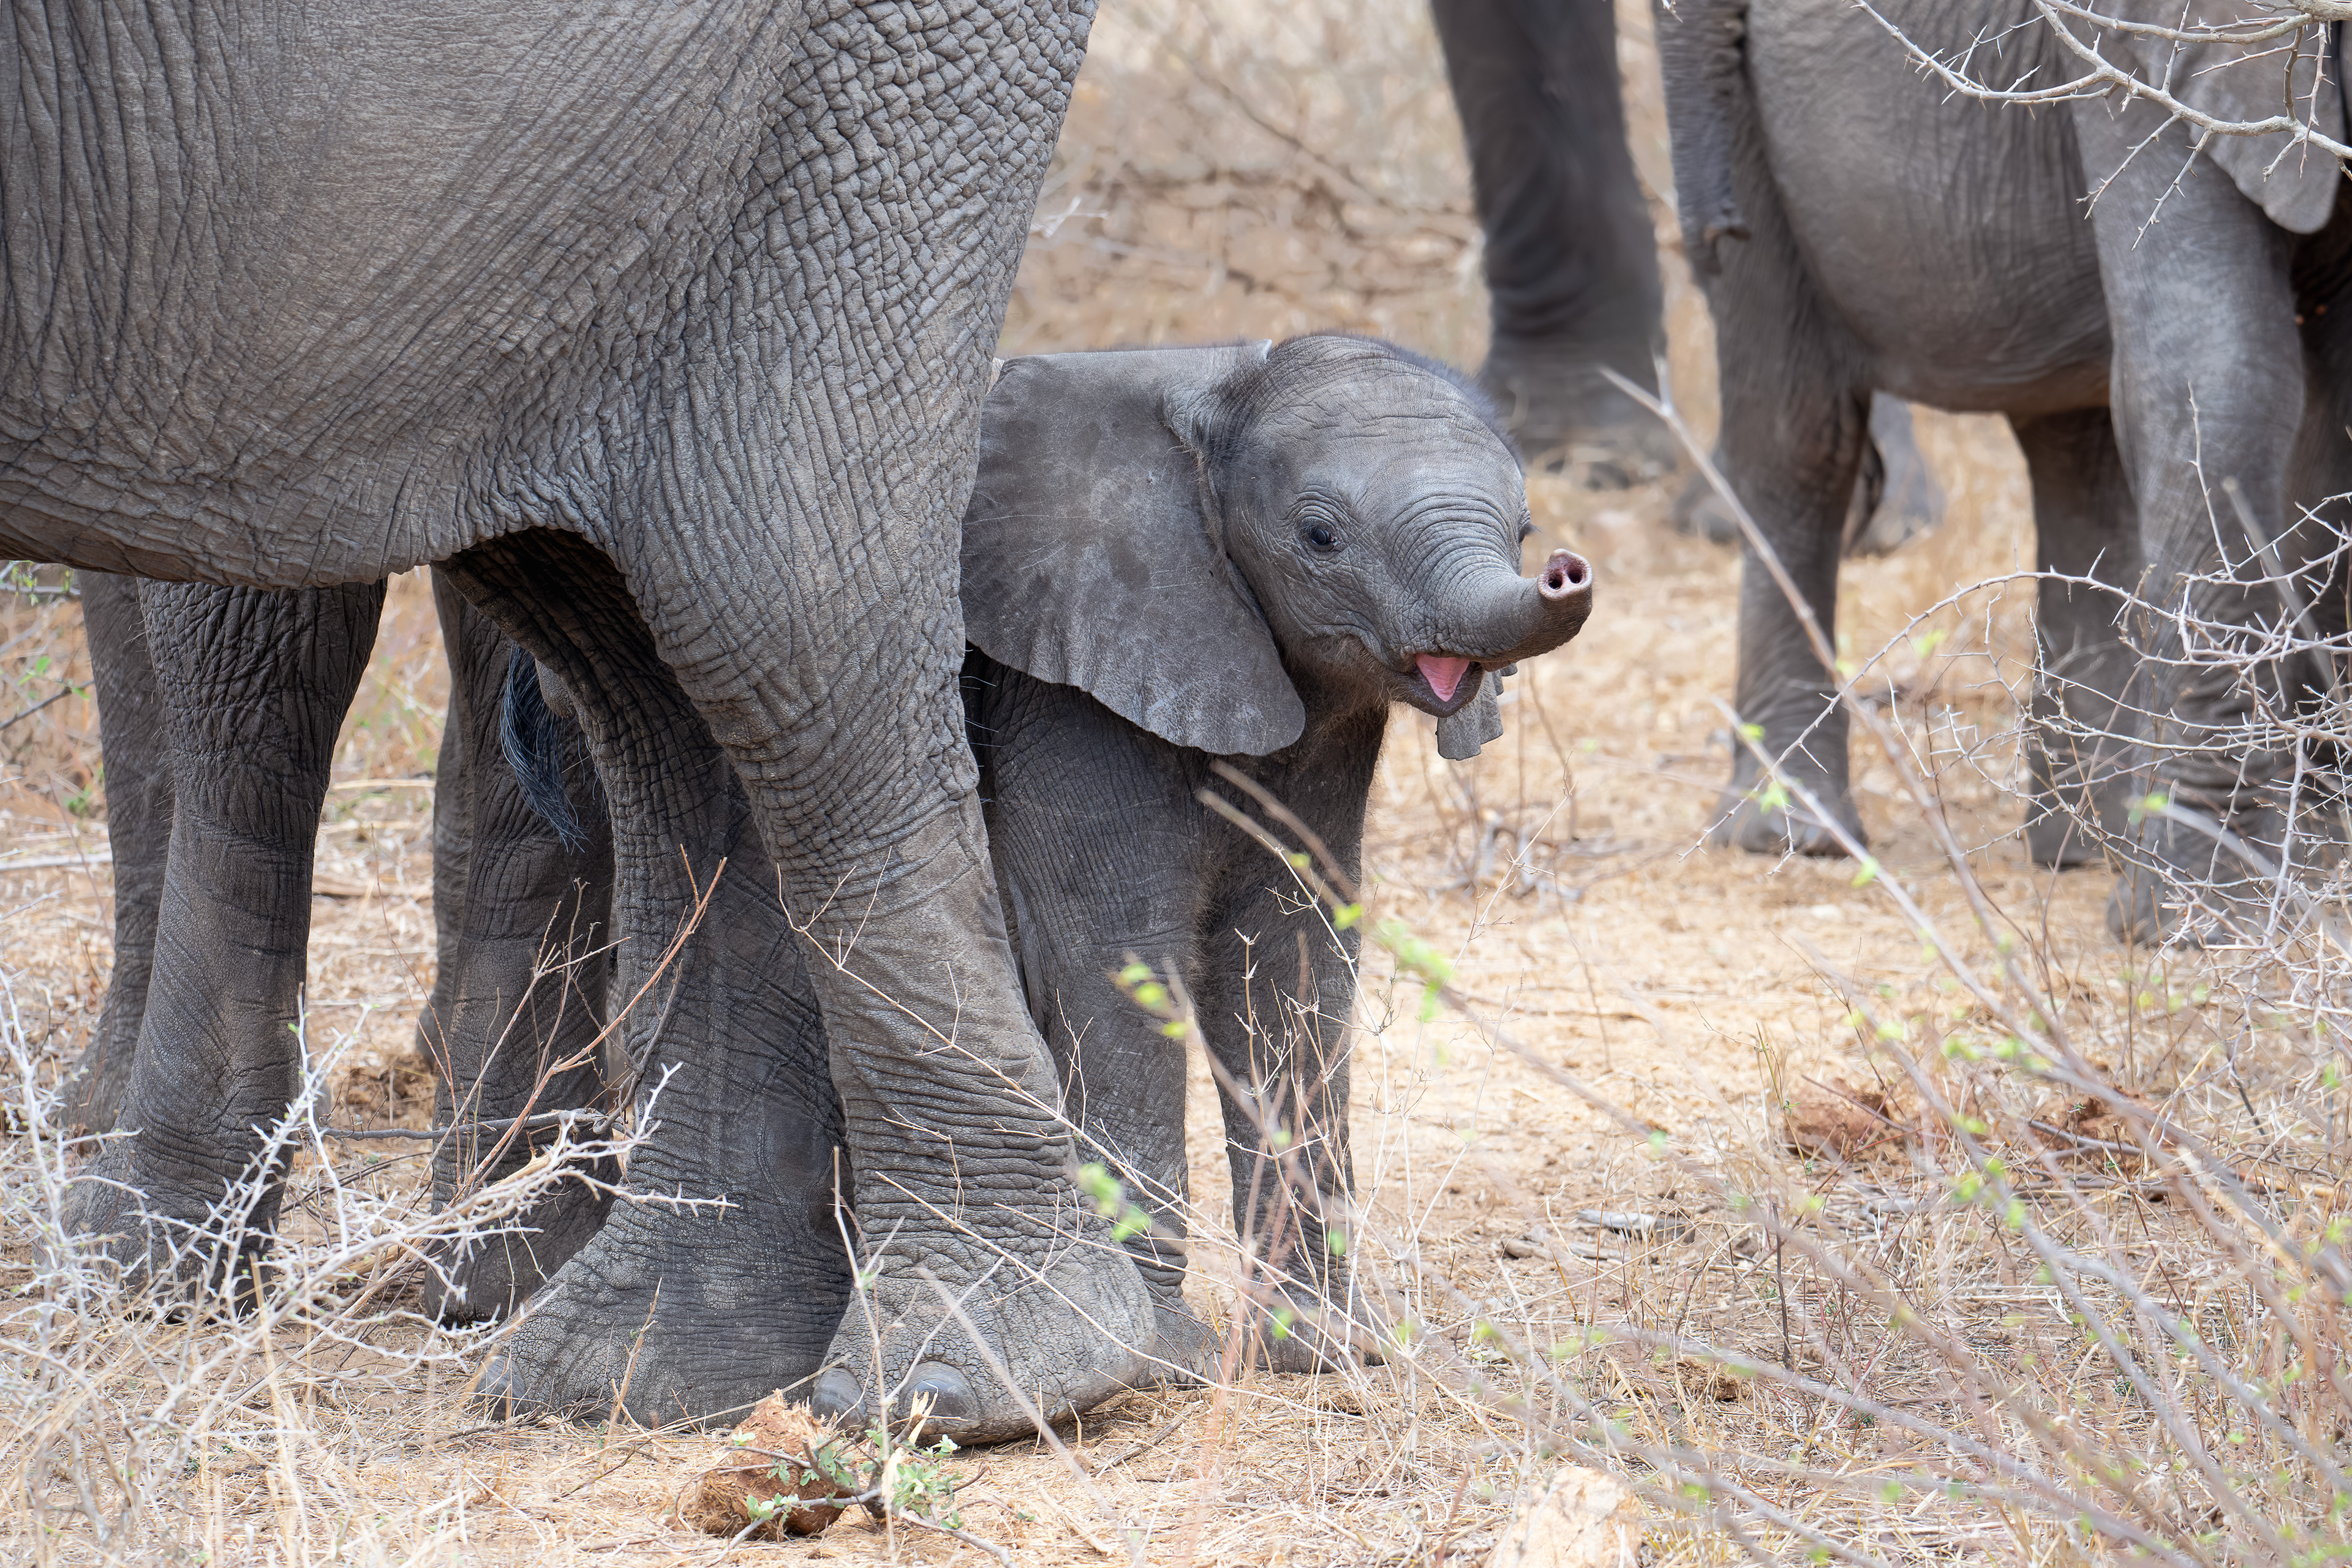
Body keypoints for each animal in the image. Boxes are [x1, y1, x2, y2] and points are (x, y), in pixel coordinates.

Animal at [1653, 0, 2352, 937]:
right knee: (1799, 432)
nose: (1709, 223)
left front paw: (2313, 861)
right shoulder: (2152, 42)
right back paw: (1794, 833)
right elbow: (2214, 367)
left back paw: (2091, 842)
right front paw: (2202, 920)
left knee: (2075, 447)